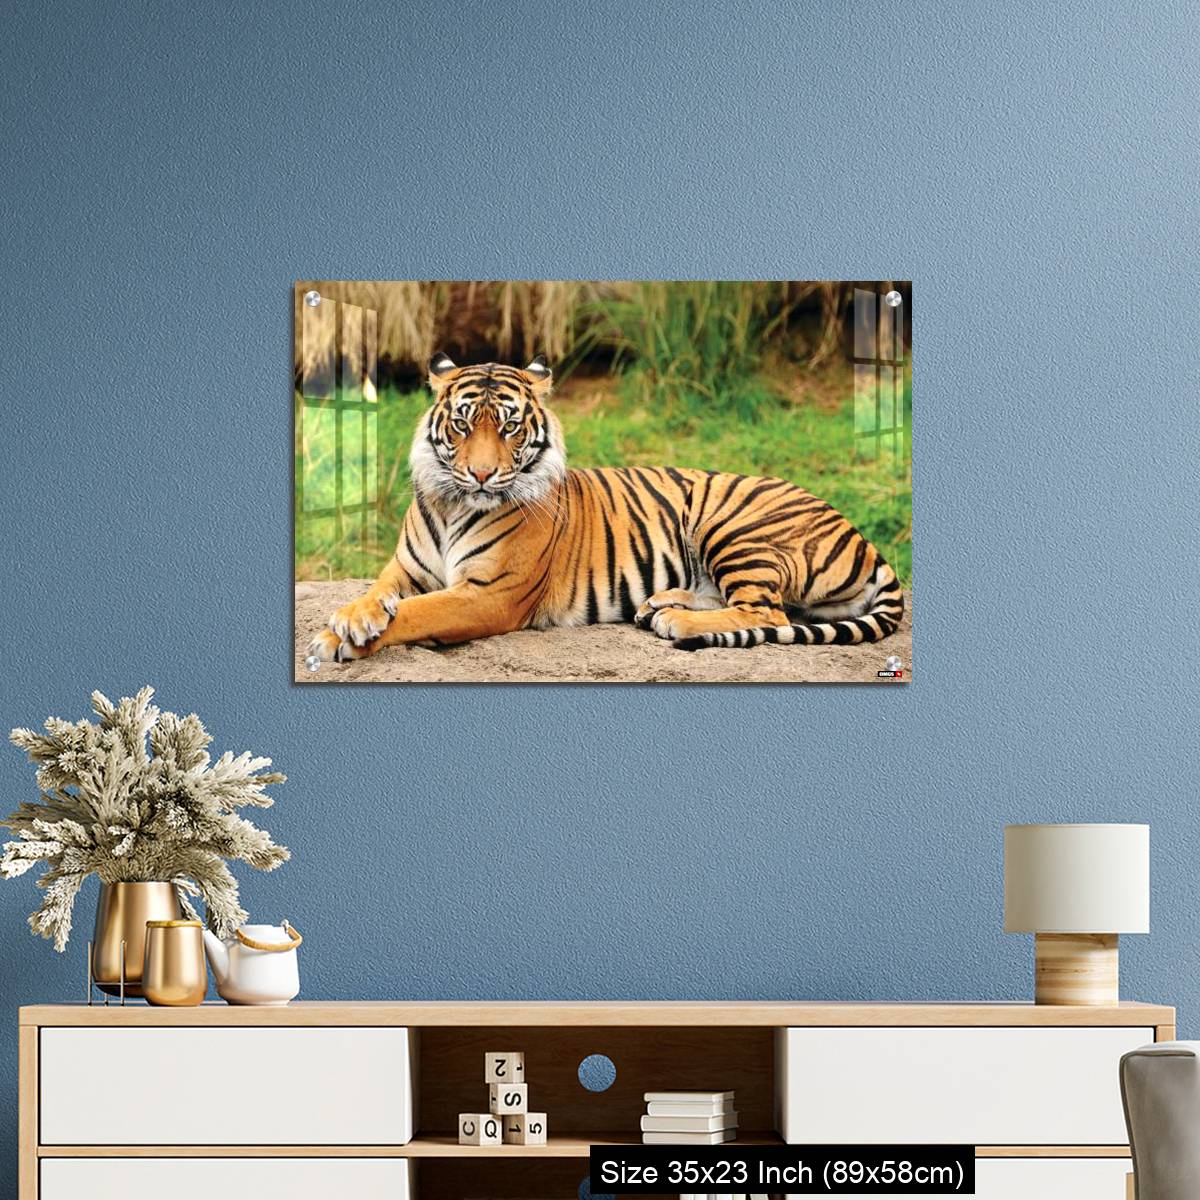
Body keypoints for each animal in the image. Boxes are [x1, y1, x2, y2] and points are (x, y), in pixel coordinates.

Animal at [306, 354, 904, 663]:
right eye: (461, 424)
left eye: (509, 427)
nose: (480, 475)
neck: (455, 505)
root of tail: (862, 536)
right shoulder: (405, 569)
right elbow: (378, 594)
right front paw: (349, 619)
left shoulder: (490, 594)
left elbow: (418, 612)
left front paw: (339, 640)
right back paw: (659, 605)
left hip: (732, 524)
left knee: (768, 612)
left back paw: (676, 621)